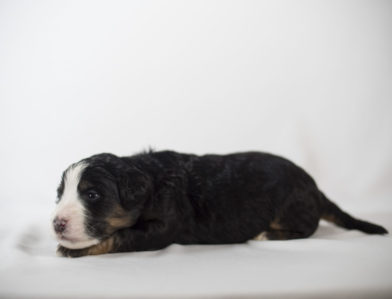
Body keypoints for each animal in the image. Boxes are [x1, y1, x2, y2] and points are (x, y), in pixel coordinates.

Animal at [52, 151, 388, 258]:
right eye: (59, 194)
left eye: (92, 195)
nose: (57, 224)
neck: (151, 179)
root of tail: (315, 187)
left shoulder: (164, 226)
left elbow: (121, 236)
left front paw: (71, 249)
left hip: (289, 207)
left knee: (306, 230)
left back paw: (265, 234)